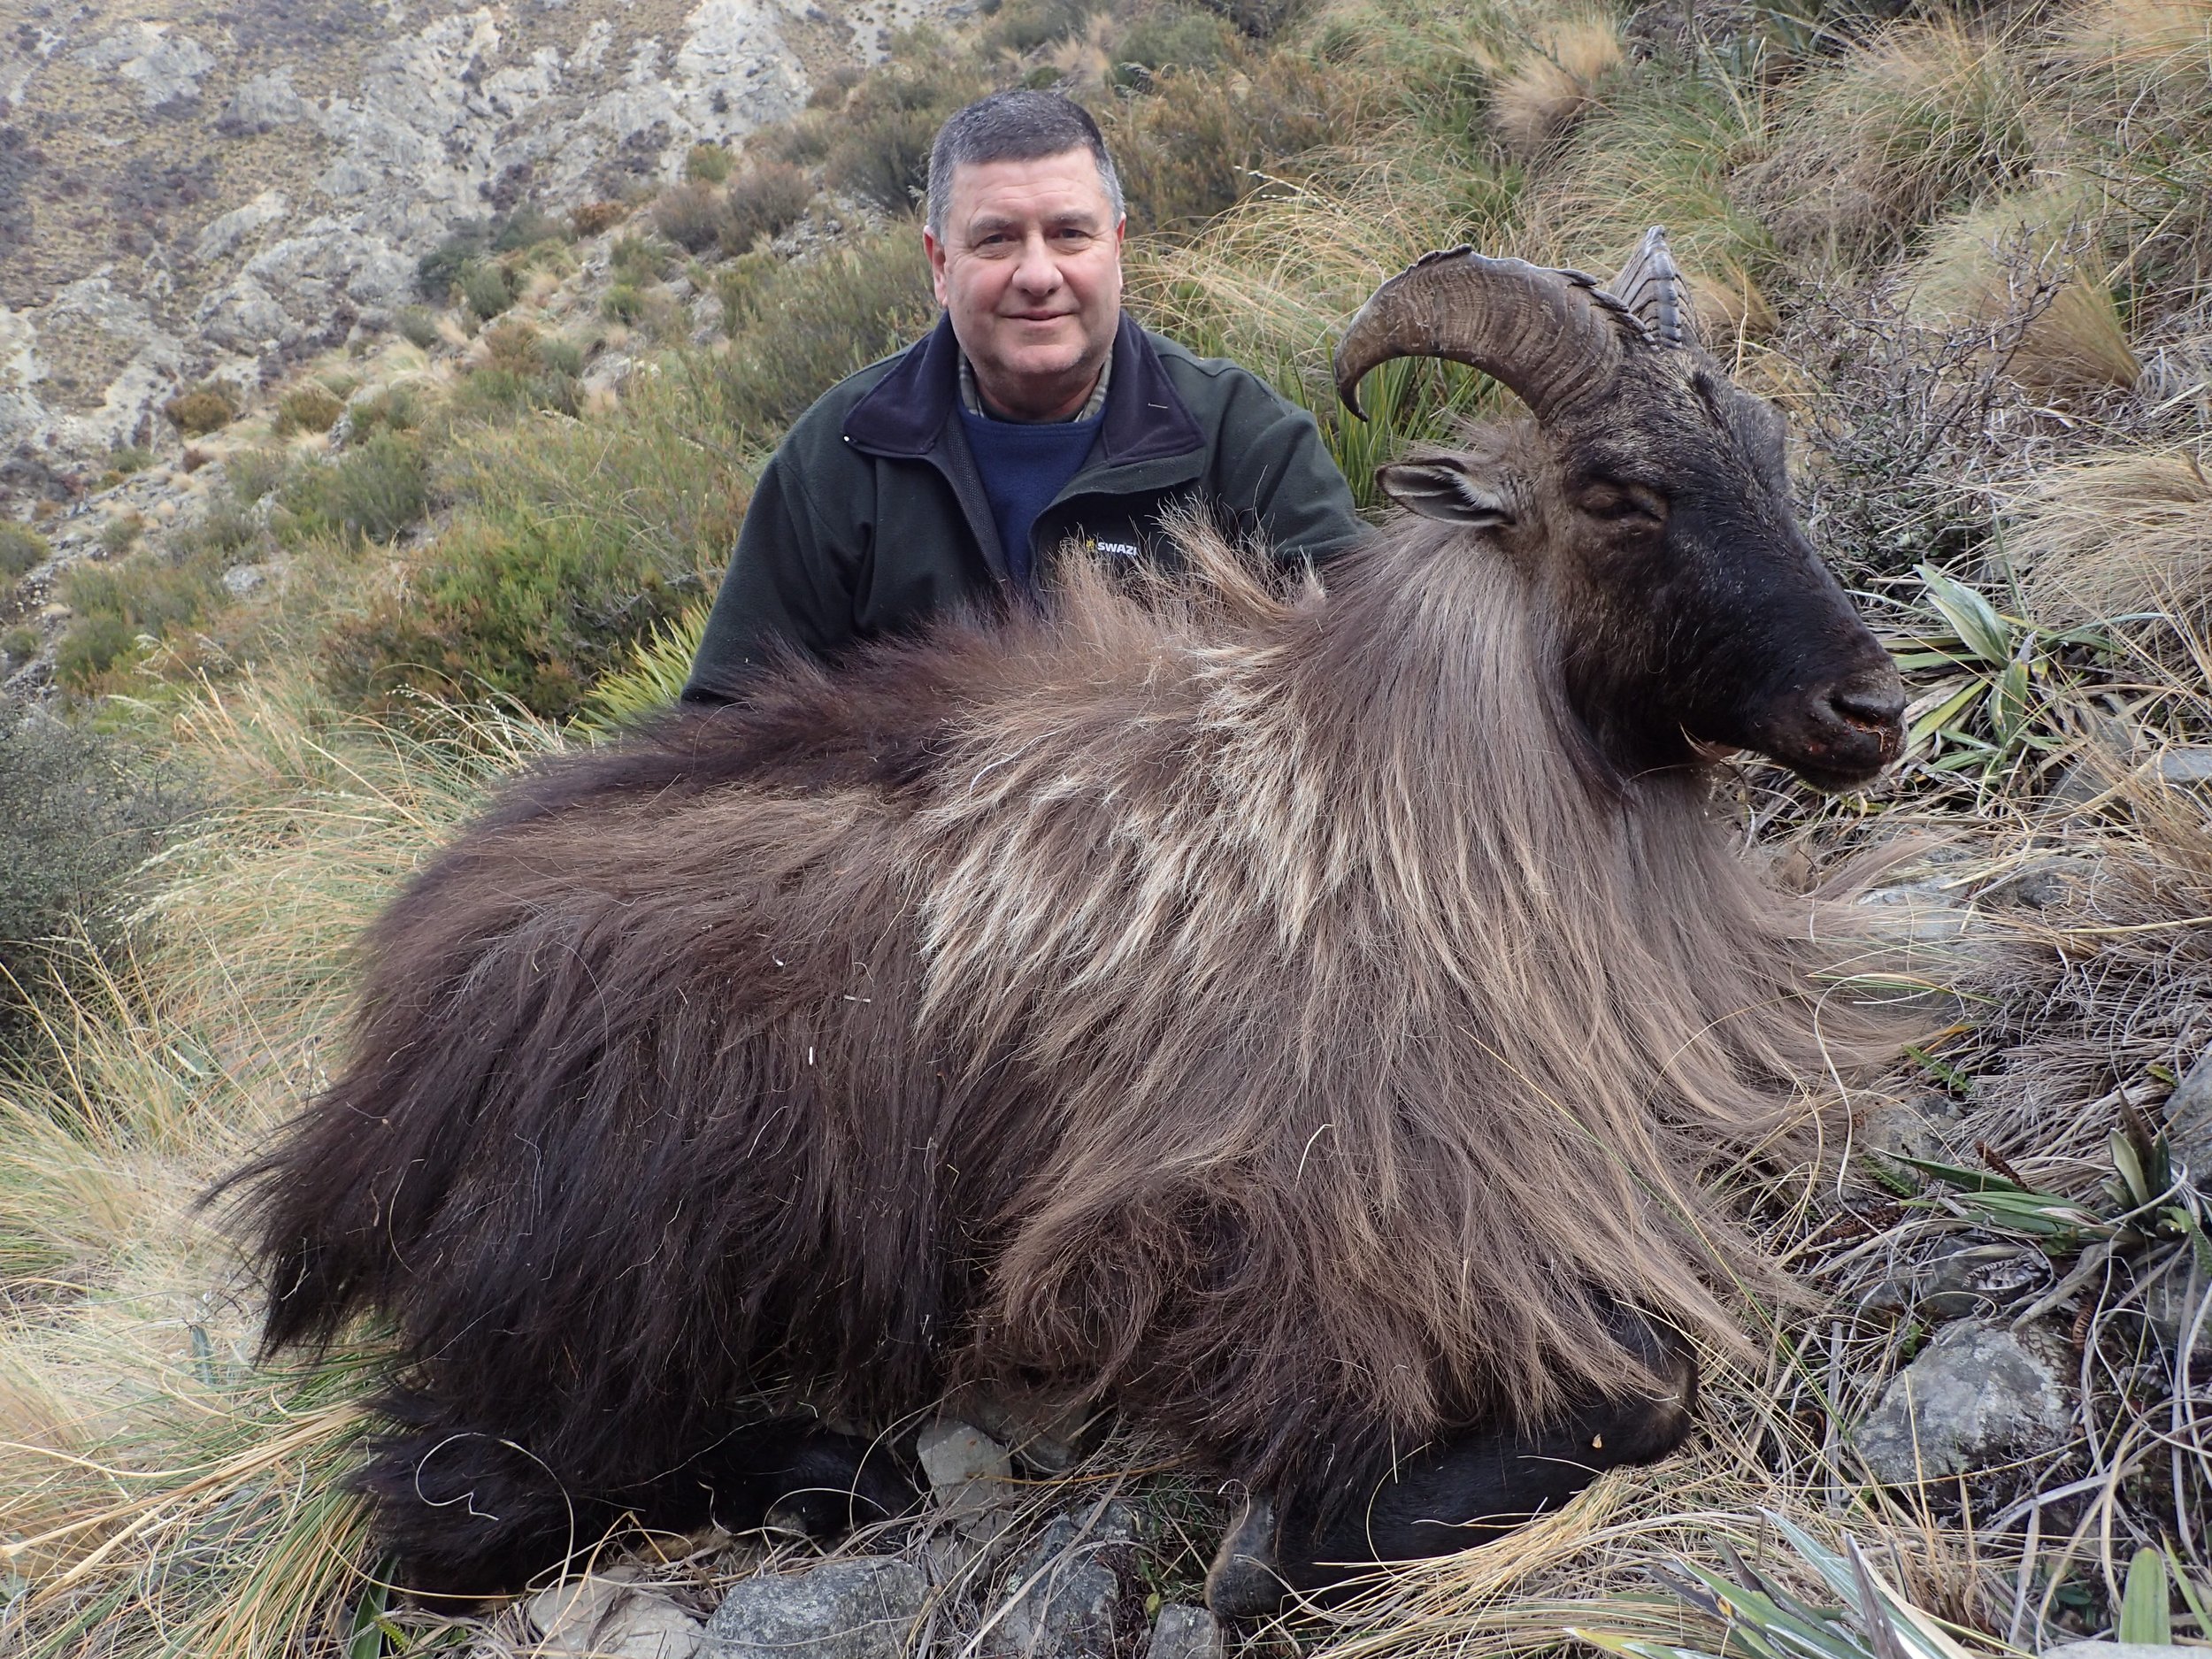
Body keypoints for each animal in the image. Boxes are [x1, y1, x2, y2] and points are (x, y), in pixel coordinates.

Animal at [230, 230, 1909, 1615]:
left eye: (1764, 442)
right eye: (1620, 489)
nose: (1869, 707)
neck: (1391, 800)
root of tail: (360, 1103)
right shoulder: (1273, 1217)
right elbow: (1637, 1389)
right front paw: (1276, 1548)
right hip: (622, 1273)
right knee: (457, 1506)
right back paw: (828, 1473)